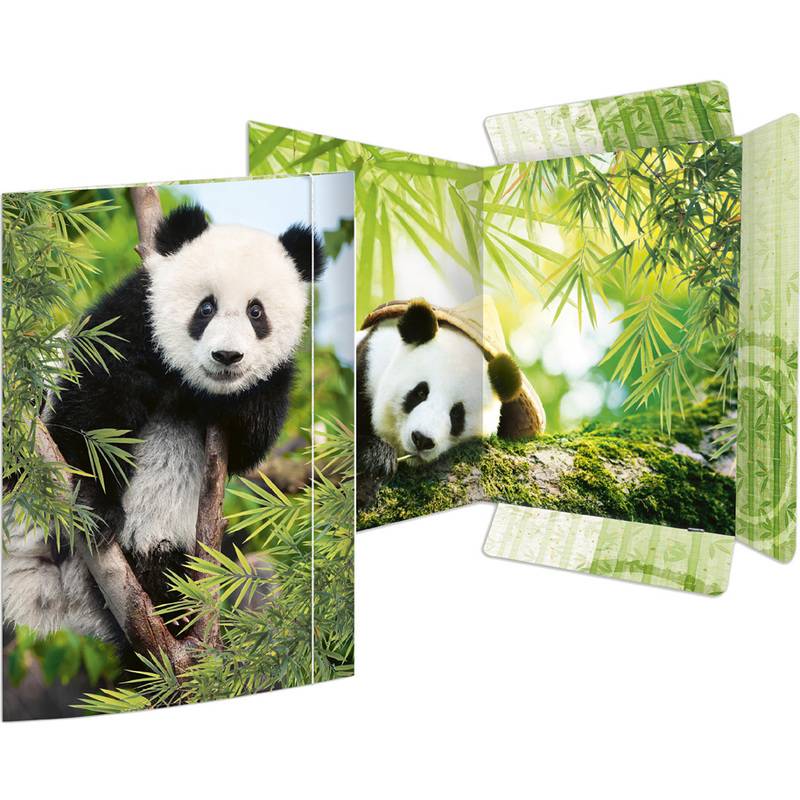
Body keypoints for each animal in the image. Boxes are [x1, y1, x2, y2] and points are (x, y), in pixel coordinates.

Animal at [2, 204, 325, 641]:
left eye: (256, 312)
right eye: (206, 307)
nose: (227, 356)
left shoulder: (272, 381)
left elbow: (250, 442)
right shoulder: (130, 318)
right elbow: (90, 412)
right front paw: (97, 504)